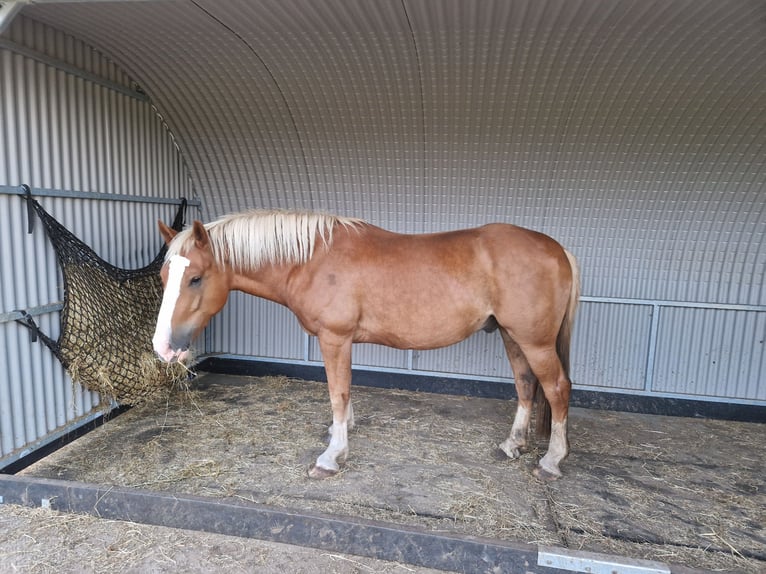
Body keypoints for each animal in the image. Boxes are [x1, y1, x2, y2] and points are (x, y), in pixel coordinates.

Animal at [152, 210, 584, 482]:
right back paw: (513, 444)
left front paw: (331, 456)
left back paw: (551, 460)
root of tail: (557, 248)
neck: (311, 259)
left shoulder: (334, 337)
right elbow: (345, 391)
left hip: (535, 341)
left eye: (196, 278)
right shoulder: (342, 341)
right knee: (526, 385)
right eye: (163, 277)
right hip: (513, 336)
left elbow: (337, 392)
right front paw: (339, 433)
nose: (163, 347)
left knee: (557, 389)